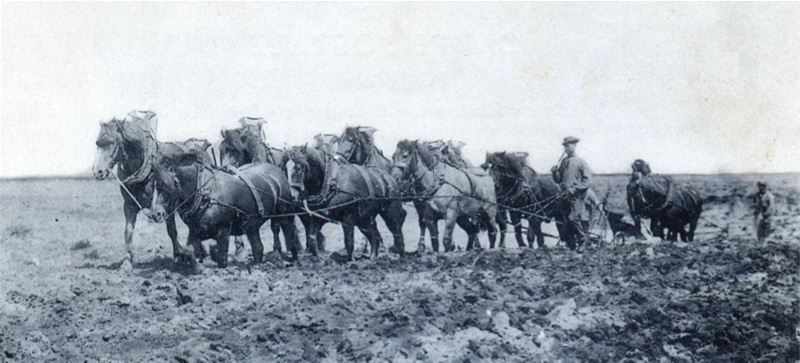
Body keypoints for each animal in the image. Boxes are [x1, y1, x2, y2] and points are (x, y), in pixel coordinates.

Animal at [92, 111, 212, 264]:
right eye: (97, 143)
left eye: (112, 142)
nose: (98, 172)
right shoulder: (129, 205)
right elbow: (128, 231)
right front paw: (127, 260)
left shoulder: (168, 205)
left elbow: (172, 231)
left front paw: (178, 254)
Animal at [149, 149, 300, 266]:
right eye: (157, 185)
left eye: (172, 183)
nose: (157, 214)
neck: (206, 194)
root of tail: (278, 172)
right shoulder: (194, 231)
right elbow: (191, 248)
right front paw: (186, 259)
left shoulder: (224, 231)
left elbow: (221, 258)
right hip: (252, 225)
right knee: (258, 247)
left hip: (284, 213)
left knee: (288, 232)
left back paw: (293, 257)